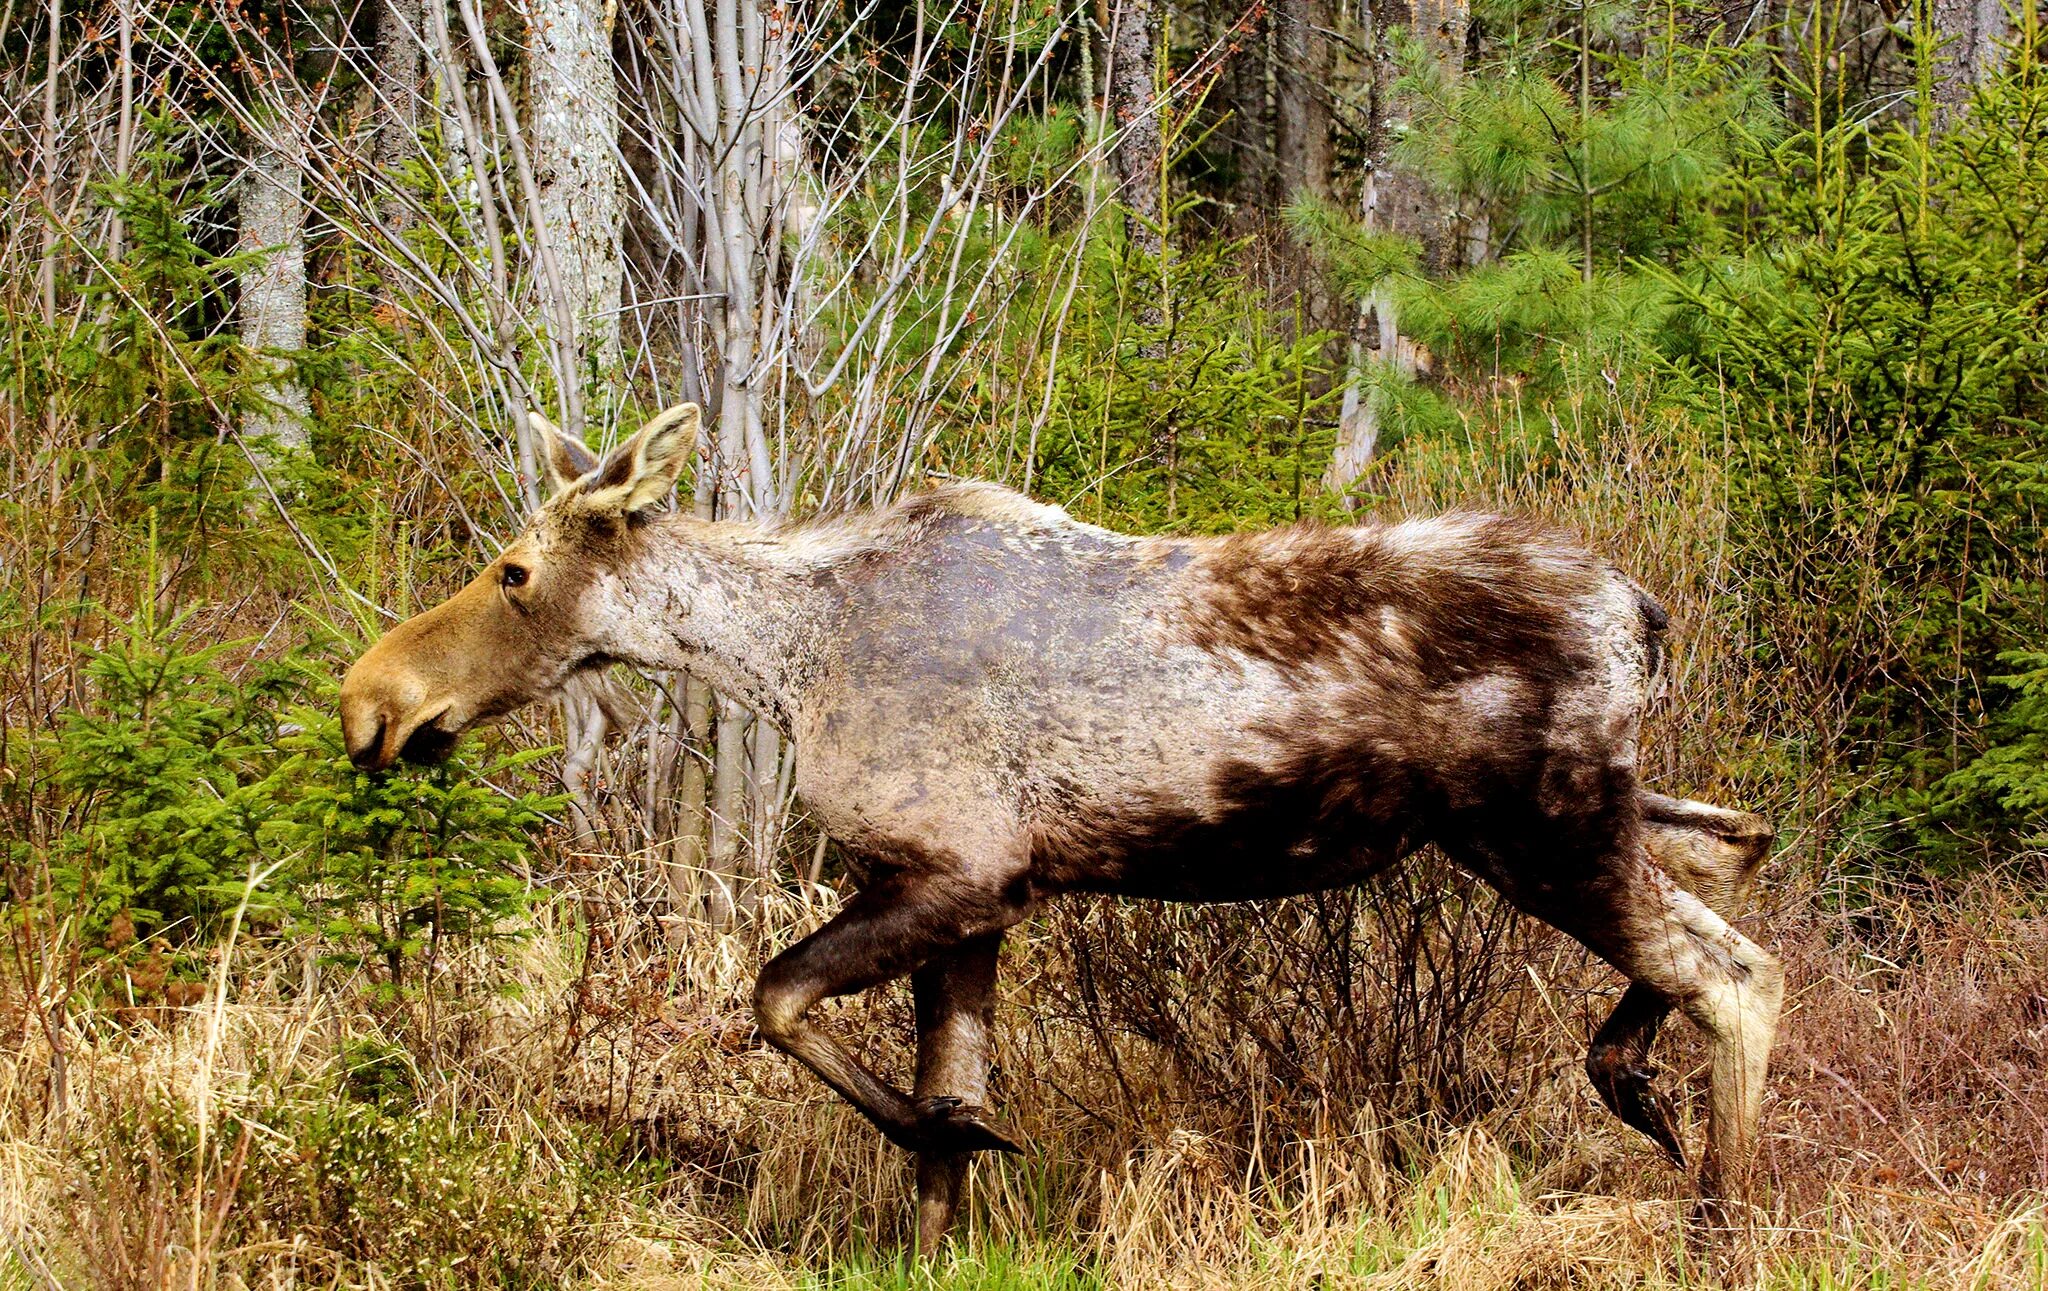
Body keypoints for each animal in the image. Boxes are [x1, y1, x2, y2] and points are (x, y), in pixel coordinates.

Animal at [335, 407, 1777, 1254]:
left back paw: (1719, 1218)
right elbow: (938, 1108)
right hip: (1565, 816)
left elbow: (780, 998)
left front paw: (960, 1140)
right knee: (1729, 871)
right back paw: (1636, 1084)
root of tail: (1646, 608)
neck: (785, 659)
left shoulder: (957, 870)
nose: (371, 701)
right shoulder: (974, 897)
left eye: (515, 571)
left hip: (1542, 825)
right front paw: (949, 1181)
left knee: (1737, 973)